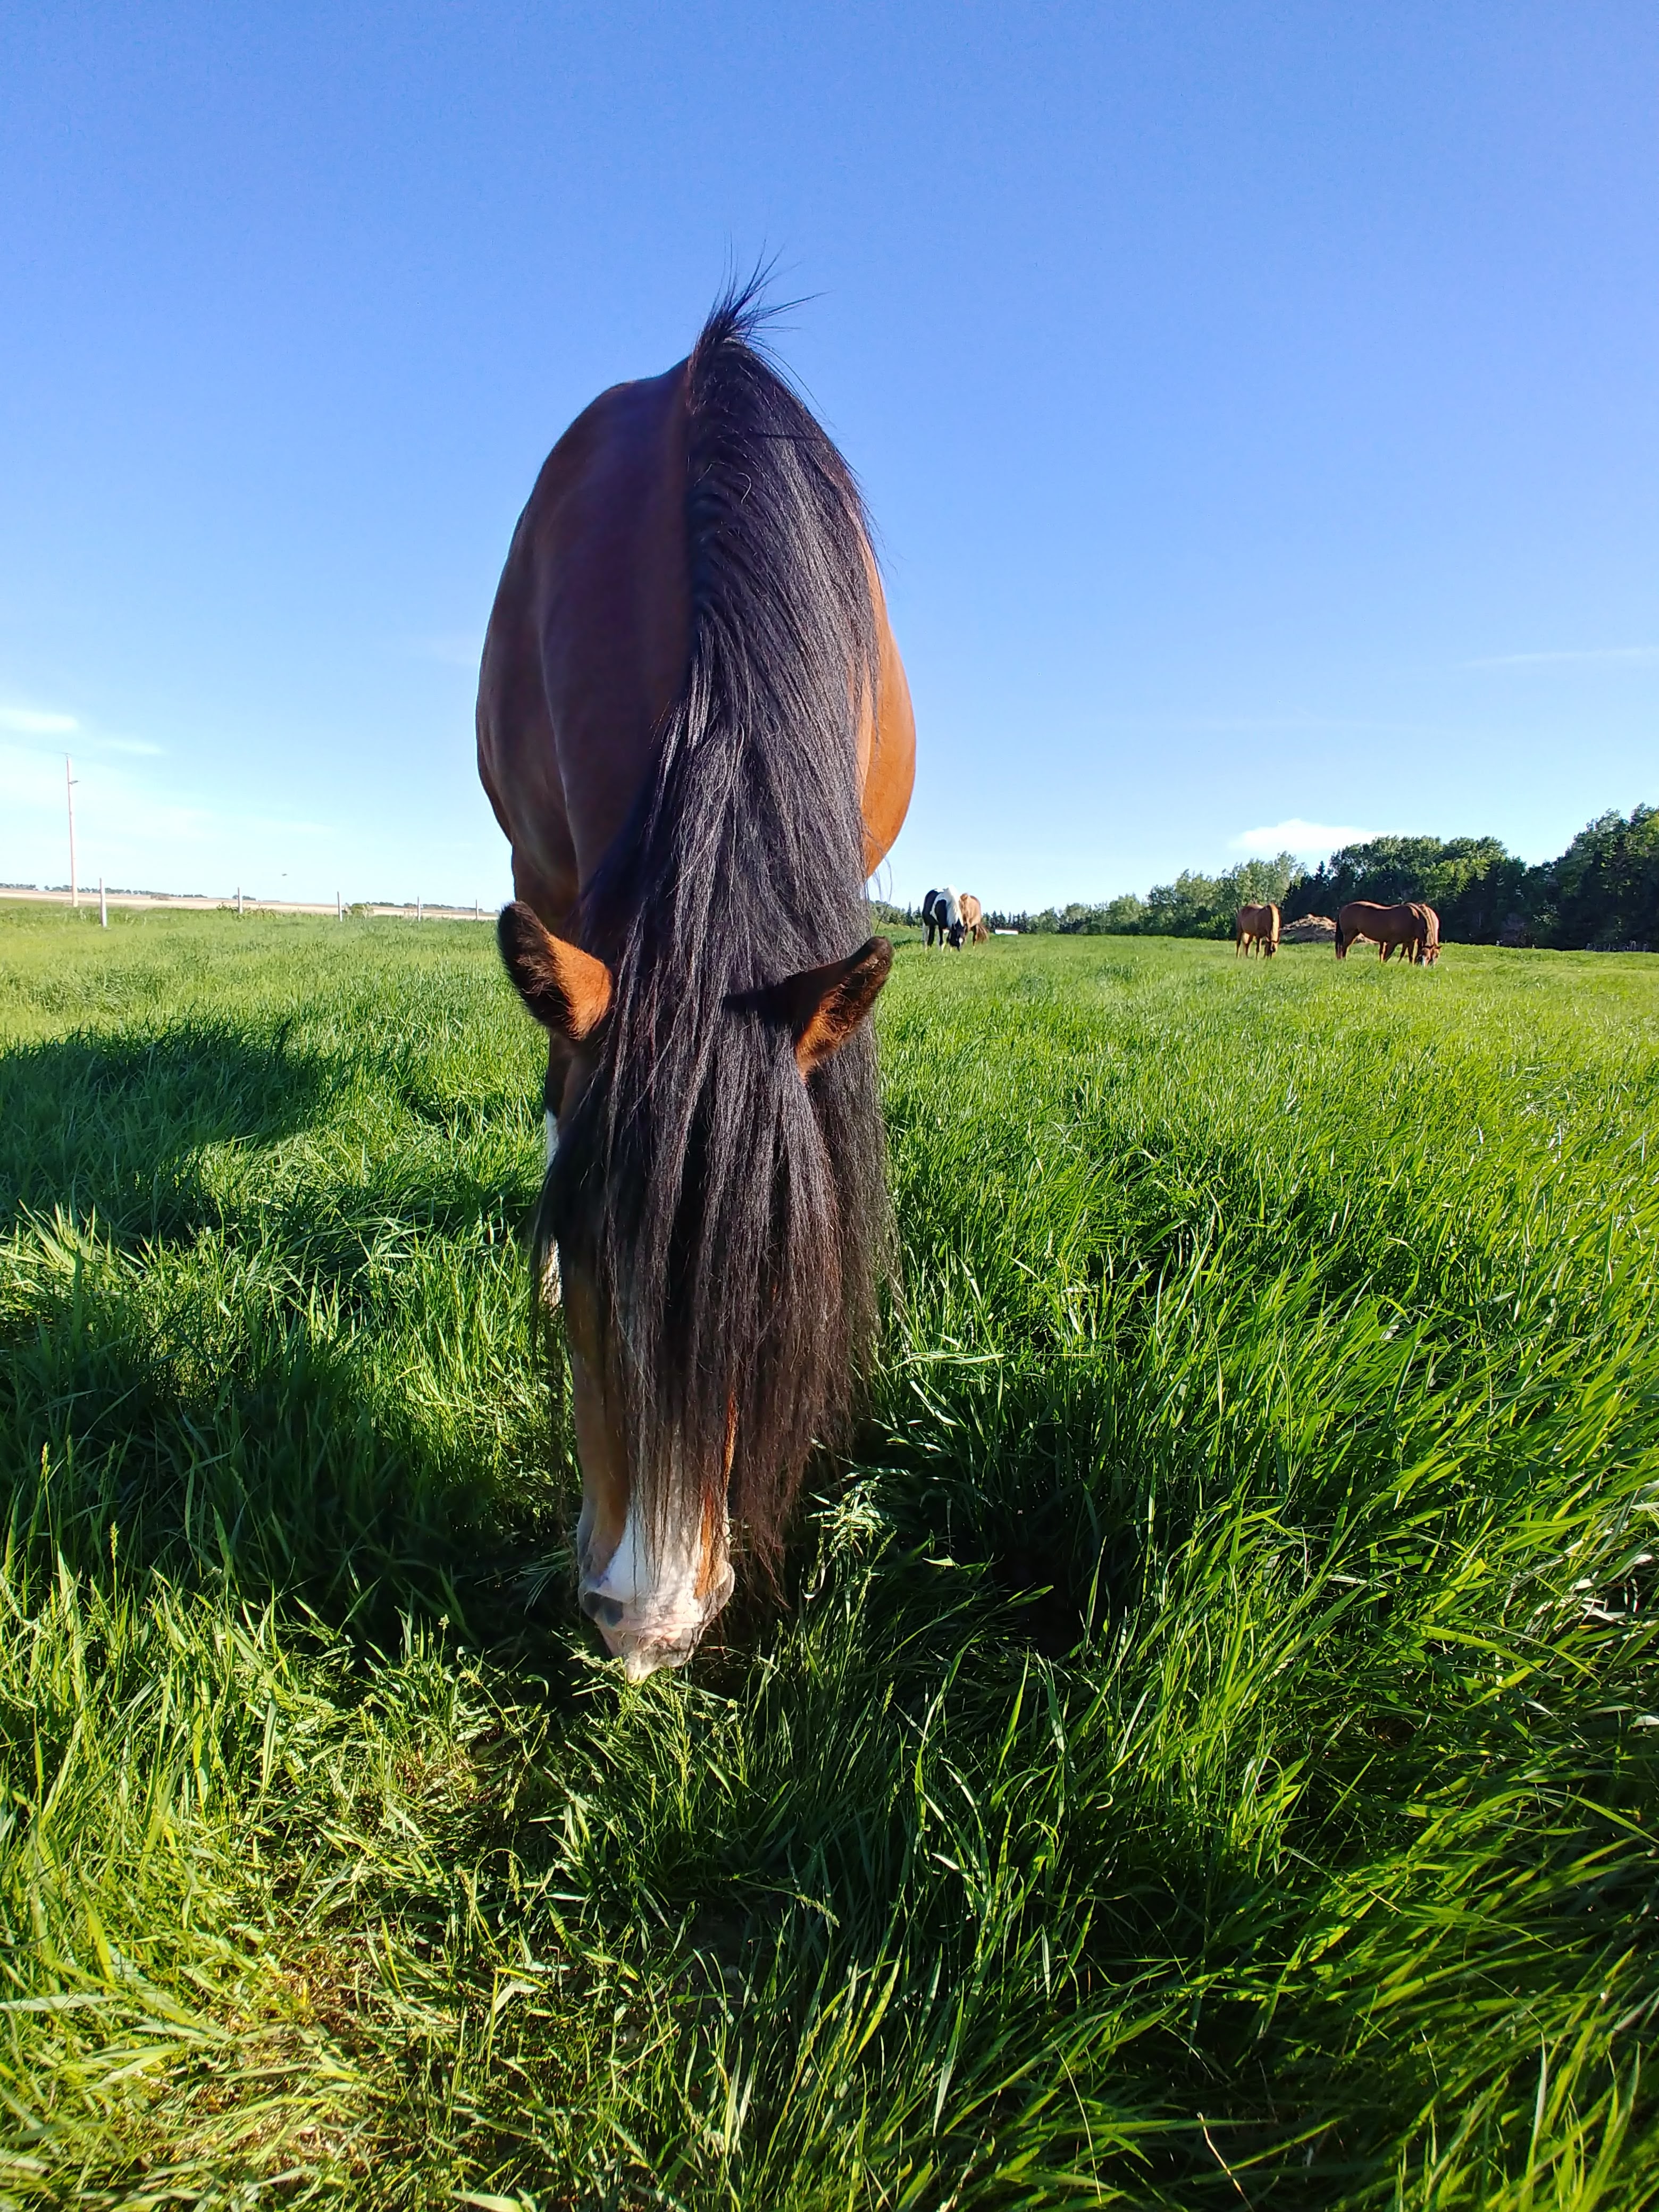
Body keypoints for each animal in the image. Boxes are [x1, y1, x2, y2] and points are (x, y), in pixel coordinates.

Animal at [1336, 898, 1433, 960]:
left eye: (1429, 958)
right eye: (1420, 958)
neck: (1413, 920)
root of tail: (1344, 908)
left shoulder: (1410, 942)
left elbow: (1410, 956)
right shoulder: (1393, 942)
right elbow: (1387, 955)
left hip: (1354, 934)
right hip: (1350, 934)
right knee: (1344, 948)